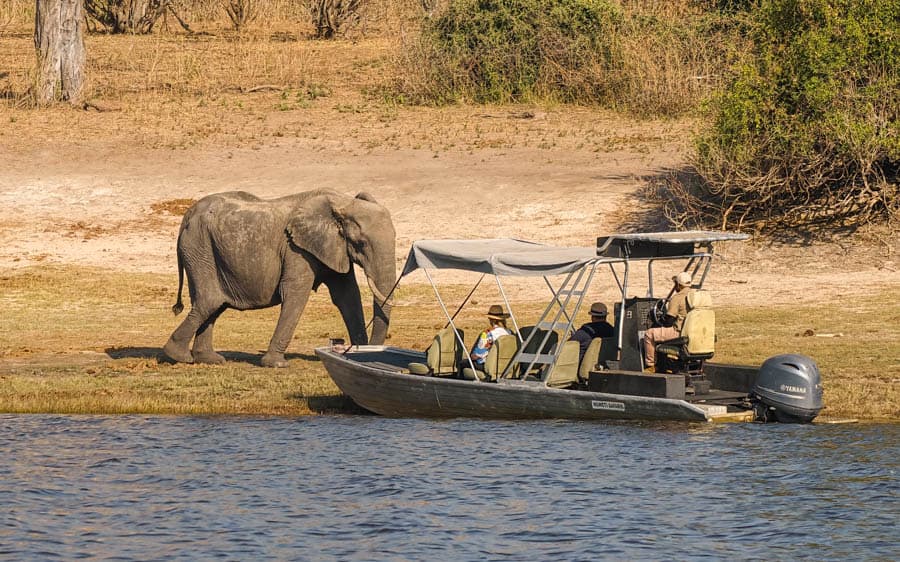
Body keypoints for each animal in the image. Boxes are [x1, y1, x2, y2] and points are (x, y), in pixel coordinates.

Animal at [162, 189, 396, 368]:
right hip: (199, 248)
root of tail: (188, 214)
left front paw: (358, 356)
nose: (370, 351)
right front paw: (277, 364)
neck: (342, 203)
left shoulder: (334, 248)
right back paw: (178, 356)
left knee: (214, 304)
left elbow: (347, 296)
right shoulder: (296, 249)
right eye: (361, 243)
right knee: (210, 300)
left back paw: (209, 359)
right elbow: (296, 294)